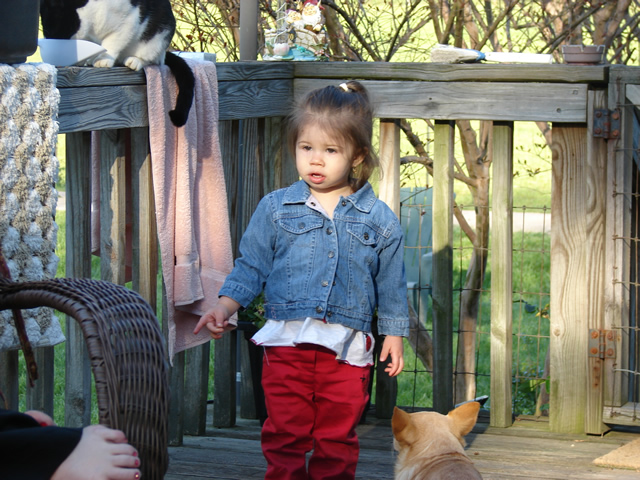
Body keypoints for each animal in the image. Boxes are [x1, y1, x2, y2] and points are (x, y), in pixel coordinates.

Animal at [40, 0, 195, 127]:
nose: (50, 42)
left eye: (52, 30)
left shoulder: (128, 21)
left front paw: (103, 59)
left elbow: (112, 43)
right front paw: (89, 57)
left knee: (152, 57)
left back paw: (135, 60)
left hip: (158, 37)